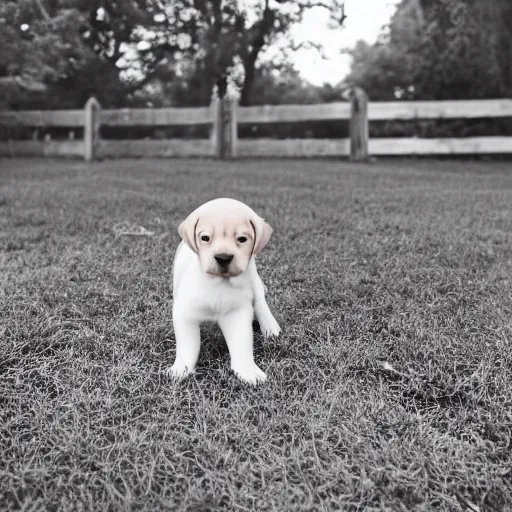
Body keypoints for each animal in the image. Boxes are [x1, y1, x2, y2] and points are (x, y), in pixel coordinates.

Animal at [168, 198, 280, 382]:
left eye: (242, 239)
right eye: (205, 238)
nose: (223, 258)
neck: (219, 283)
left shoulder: (237, 313)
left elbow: (242, 343)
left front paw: (247, 370)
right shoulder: (185, 313)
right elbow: (187, 346)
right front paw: (181, 369)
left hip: (254, 280)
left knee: (260, 301)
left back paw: (270, 327)